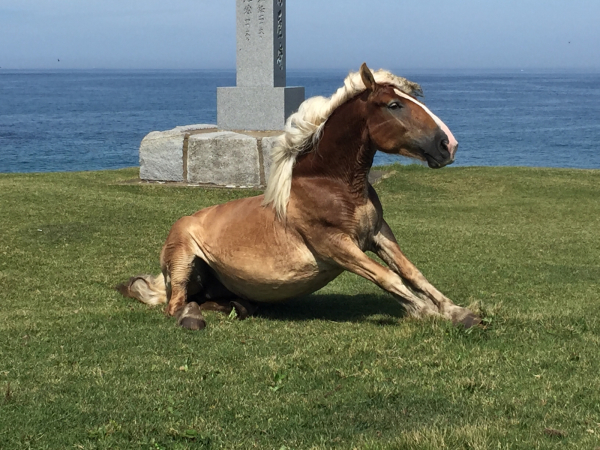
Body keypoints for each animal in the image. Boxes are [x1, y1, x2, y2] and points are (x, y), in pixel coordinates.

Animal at [118, 62, 482, 330]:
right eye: (394, 105)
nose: (448, 145)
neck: (330, 185)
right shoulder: (337, 245)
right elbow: (388, 277)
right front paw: (427, 313)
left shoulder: (379, 235)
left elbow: (412, 272)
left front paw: (458, 311)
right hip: (183, 261)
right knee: (176, 305)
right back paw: (192, 318)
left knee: (207, 301)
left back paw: (238, 306)